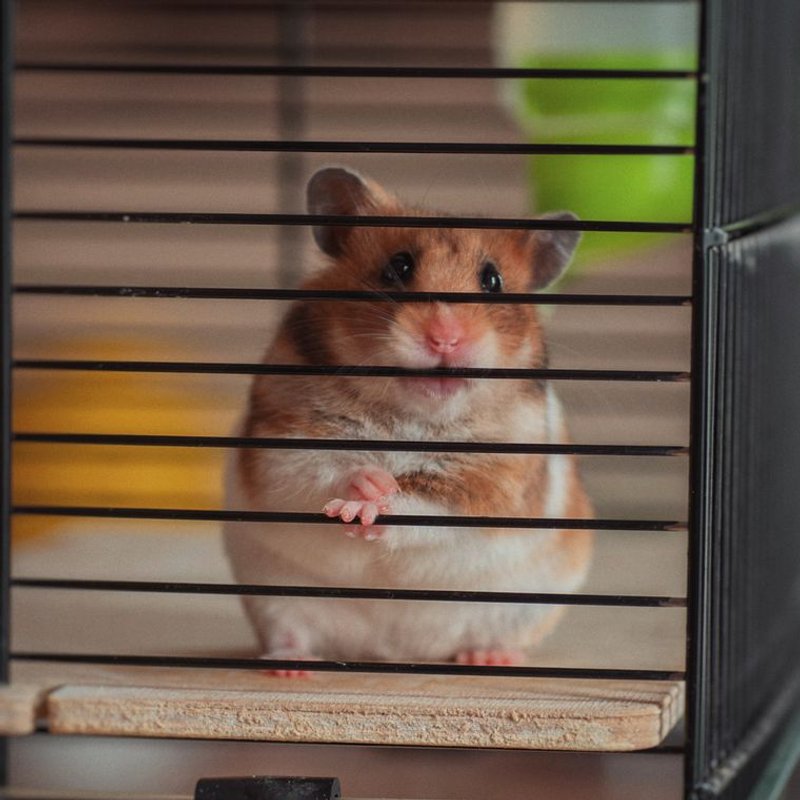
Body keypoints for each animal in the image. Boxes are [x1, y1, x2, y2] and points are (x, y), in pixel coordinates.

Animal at [223, 167, 593, 675]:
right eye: (398, 267)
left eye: (492, 280)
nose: (445, 339)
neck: (411, 416)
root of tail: (394, 653)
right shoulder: (283, 438)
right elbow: (318, 470)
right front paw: (363, 490)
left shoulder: (493, 477)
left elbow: (427, 504)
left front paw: (371, 506)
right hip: (274, 598)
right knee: (290, 633)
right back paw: (290, 666)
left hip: (526, 605)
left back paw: (489, 657)